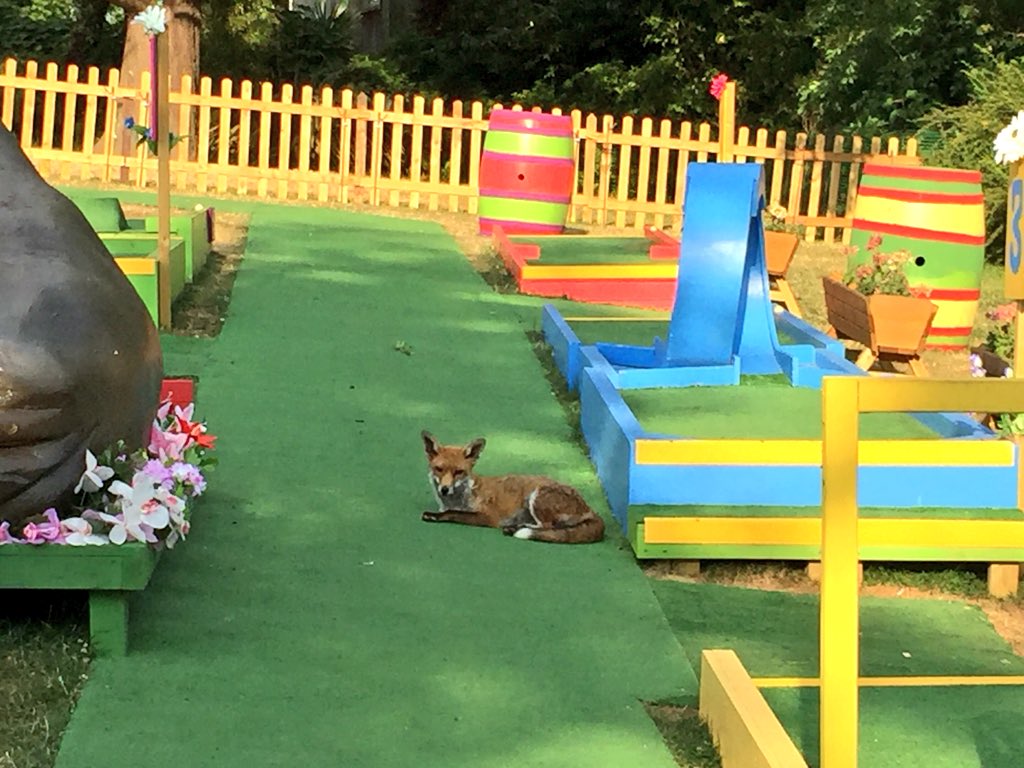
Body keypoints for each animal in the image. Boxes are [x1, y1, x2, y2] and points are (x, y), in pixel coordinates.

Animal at [420, 430, 604, 544]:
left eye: (458, 472)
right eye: (439, 469)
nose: (444, 489)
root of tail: (590, 508)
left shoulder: (488, 516)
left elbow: (453, 514)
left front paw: (435, 516)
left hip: (537, 496)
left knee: (549, 526)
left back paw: (516, 528)